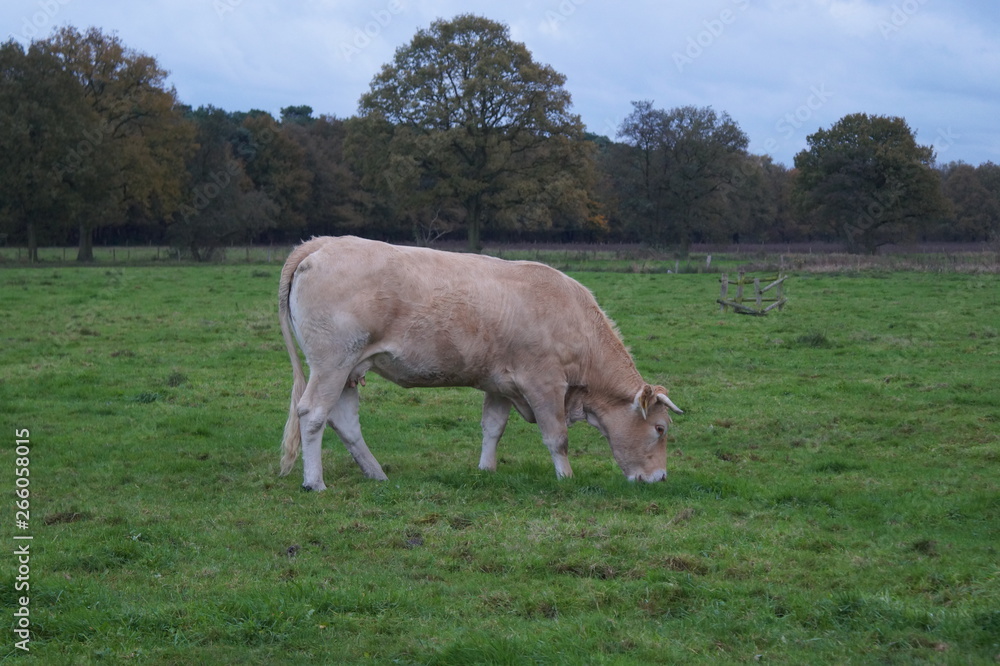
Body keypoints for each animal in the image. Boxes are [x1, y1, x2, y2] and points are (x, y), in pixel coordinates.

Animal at [277, 236, 682, 491]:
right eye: (660, 429)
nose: (661, 479)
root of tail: (324, 242)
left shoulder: (500, 383)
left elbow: (493, 428)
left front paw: (486, 470)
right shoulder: (545, 383)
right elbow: (557, 437)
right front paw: (566, 478)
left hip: (350, 369)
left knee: (345, 422)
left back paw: (376, 474)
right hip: (332, 362)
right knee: (312, 413)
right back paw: (315, 482)